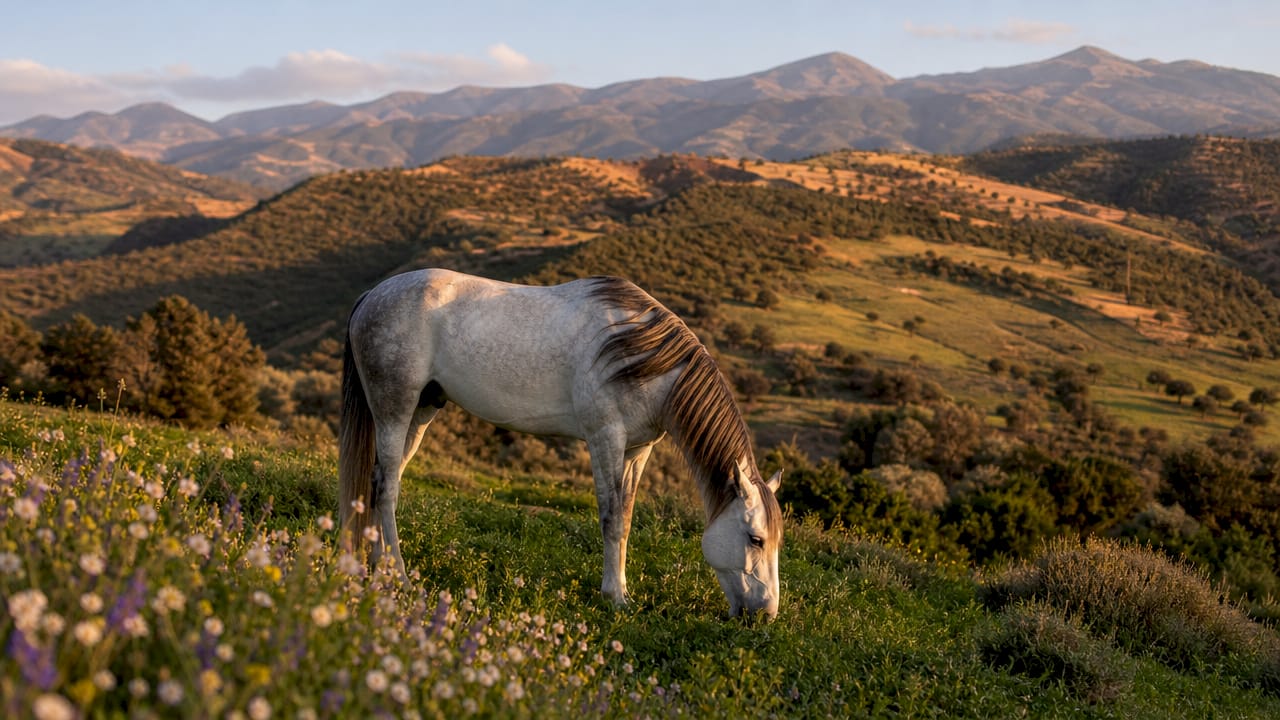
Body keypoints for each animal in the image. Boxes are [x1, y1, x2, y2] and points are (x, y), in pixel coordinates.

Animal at [338, 268, 783, 619]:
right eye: (755, 539)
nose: (765, 614)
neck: (643, 356)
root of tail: (372, 295)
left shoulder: (637, 452)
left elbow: (627, 518)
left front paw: (623, 589)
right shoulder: (605, 438)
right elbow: (611, 518)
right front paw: (614, 596)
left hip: (421, 412)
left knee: (379, 480)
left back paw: (375, 564)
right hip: (394, 408)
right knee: (387, 488)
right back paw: (397, 574)